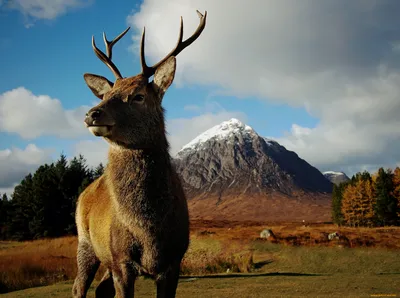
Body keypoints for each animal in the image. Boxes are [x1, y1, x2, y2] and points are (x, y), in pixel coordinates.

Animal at [72, 9, 208, 298]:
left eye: (138, 96)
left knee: (99, 290)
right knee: (78, 287)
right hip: (85, 241)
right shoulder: (121, 260)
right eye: (107, 94)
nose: (92, 113)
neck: (149, 233)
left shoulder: (174, 261)